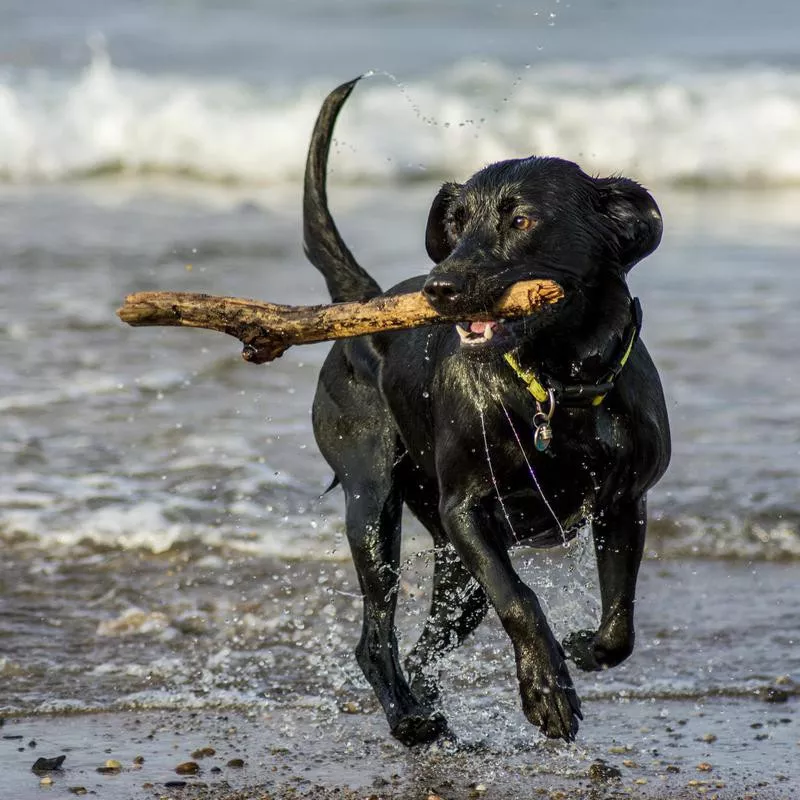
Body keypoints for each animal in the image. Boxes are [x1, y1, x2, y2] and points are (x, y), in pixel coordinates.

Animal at [304, 78, 672, 748]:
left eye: (521, 220)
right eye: (456, 223)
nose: (439, 289)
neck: (555, 384)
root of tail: (368, 304)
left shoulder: (624, 503)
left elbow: (621, 623)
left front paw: (586, 648)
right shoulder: (467, 511)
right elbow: (521, 600)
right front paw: (547, 693)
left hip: (456, 568)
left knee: (424, 645)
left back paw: (426, 703)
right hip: (374, 503)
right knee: (376, 637)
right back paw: (410, 719)